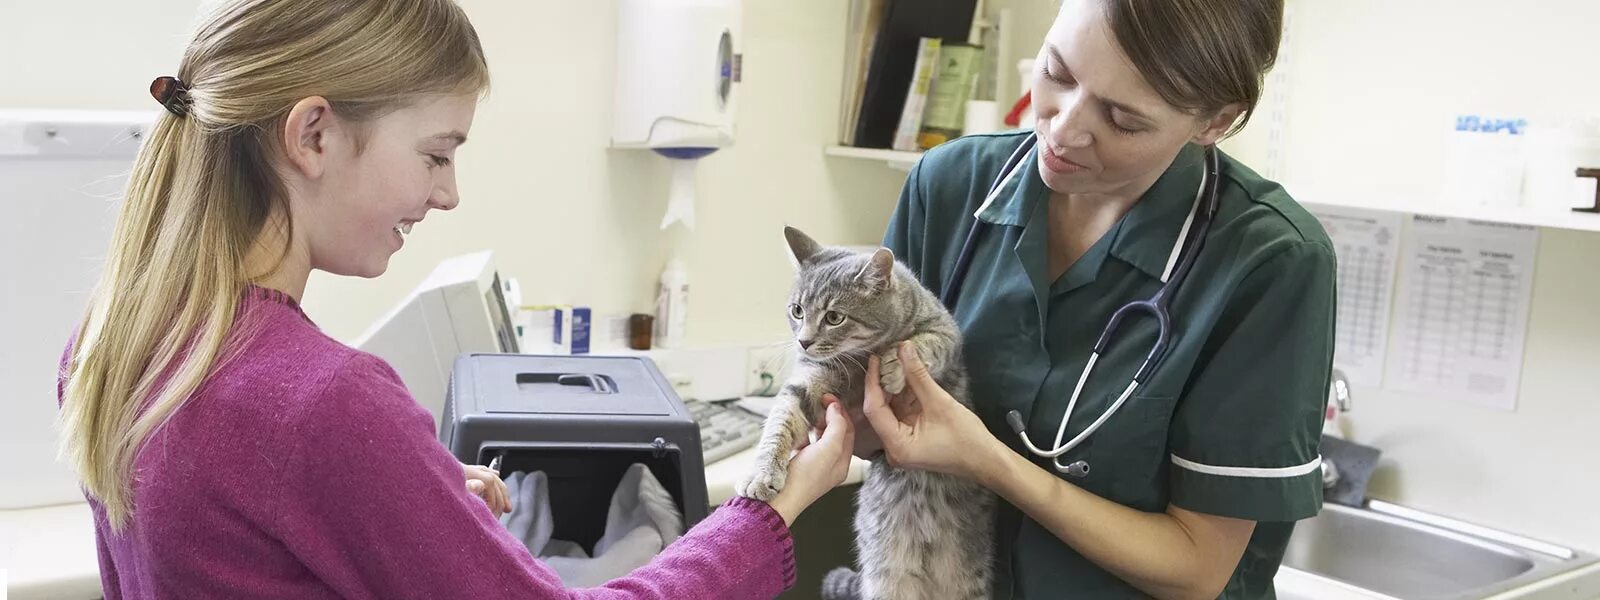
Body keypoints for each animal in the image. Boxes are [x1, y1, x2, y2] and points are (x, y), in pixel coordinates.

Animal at [732, 227, 985, 600]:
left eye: (834, 317)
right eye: (797, 310)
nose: (803, 341)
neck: (860, 356)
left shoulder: (946, 331)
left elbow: (921, 344)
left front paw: (894, 366)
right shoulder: (807, 382)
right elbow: (780, 422)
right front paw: (760, 473)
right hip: (887, 573)